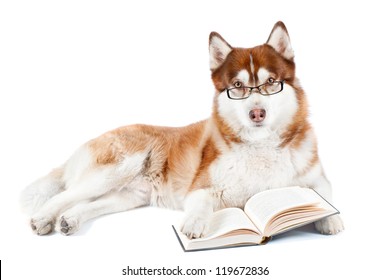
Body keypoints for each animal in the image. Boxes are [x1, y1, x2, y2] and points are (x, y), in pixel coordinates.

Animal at [21, 20, 344, 237]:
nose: (257, 113)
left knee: (86, 204)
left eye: (270, 82)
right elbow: (200, 206)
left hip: (129, 195)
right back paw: (44, 218)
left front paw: (329, 217)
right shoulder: (201, 187)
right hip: (118, 168)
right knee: (64, 195)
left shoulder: (316, 177)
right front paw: (193, 224)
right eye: (238, 86)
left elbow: (326, 194)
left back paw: (69, 220)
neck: (260, 146)